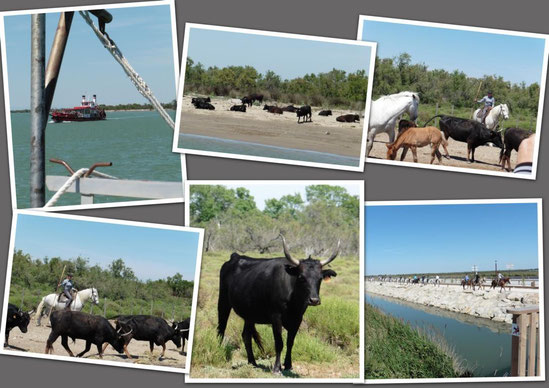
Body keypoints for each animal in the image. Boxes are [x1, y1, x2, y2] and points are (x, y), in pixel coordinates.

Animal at [217, 233, 338, 372]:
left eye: (320, 278)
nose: (314, 300)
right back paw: (218, 353)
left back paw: (252, 362)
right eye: (301, 277)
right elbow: (279, 343)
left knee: (246, 335)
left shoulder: (297, 318)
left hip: (249, 313)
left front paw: (288, 365)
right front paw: (276, 368)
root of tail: (236, 256)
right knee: (221, 328)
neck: (293, 299)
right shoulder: (276, 317)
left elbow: (290, 342)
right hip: (223, 302)